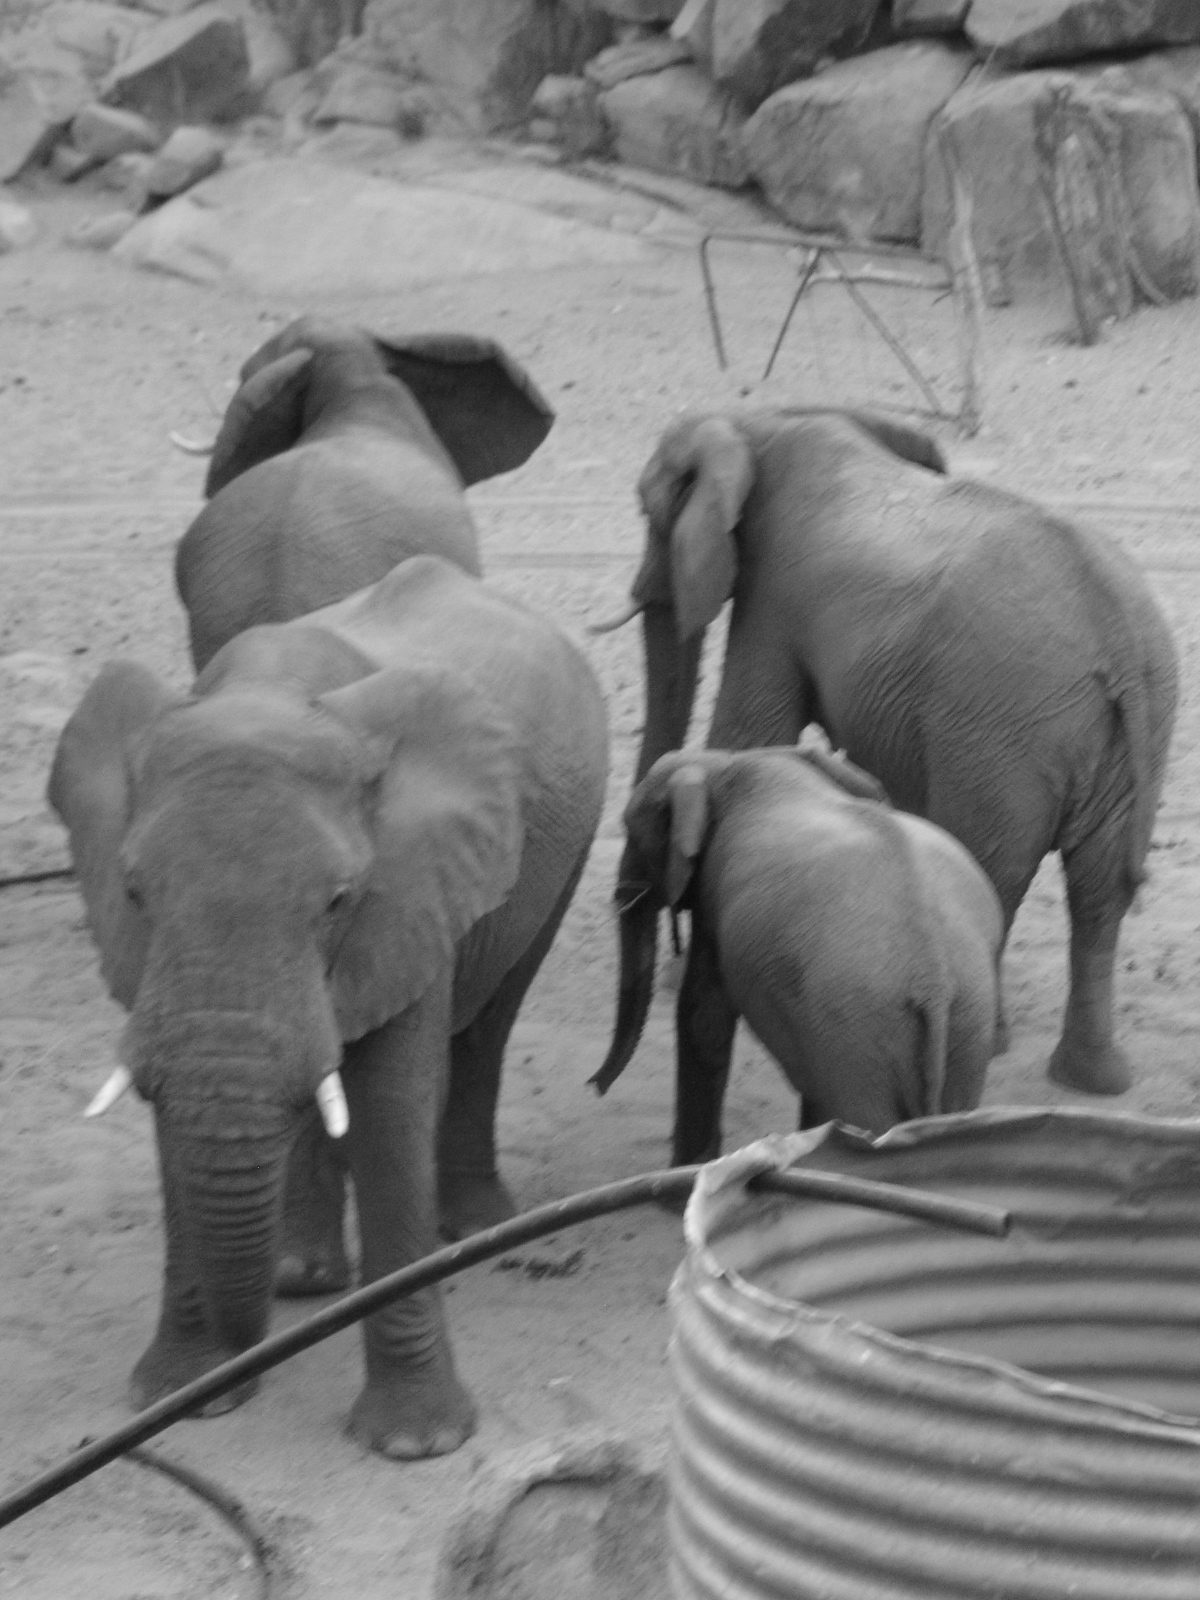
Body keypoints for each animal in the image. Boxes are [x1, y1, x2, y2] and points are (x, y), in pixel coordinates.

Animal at [48, 554, 608, 1460]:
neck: (270, 694)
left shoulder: (414, 883)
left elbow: (387, 1106)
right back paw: (301, 1280)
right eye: (133, 891)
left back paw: (472, 1233)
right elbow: (178, 1105)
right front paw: (179, 1399)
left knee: (491, 1022)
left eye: (340, 900)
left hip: (570, 838)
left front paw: (416, 1445)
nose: (244, 1355)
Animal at [594, 745, 1003, 1158]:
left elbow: (702, 1017)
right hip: (966, 1018)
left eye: (632, 833)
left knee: (866, 1117)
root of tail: (932, 979)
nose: (594, 1086)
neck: (732, 764)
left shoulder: (714, 894)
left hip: (858, 1024)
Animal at [595, 405, 1177, 1107]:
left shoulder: (774, 593)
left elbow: (751, 723)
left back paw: (1007, 1048)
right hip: (1129, 730)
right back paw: (1092, 1081)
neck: (766, 421)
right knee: (1100, 890)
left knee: (997, 862)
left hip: (1000, 731)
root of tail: (1119, 634)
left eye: (646, 507)